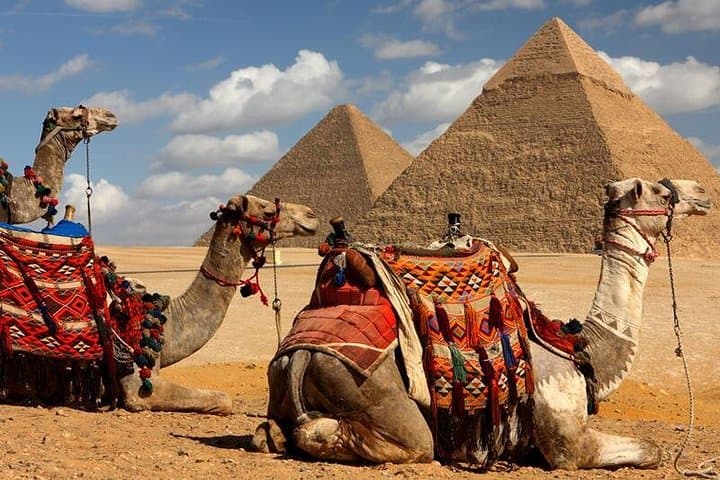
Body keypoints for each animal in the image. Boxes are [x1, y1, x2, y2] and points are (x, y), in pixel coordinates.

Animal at [255, 178, 712, 469]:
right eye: (658, 190)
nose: (703, 192)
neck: (579, 345)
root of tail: (299, 354)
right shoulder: (566, 441)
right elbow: (651, 449)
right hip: (374, 394)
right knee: (392, 441)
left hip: (283, 381)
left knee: (271, 431)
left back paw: (272, 434)